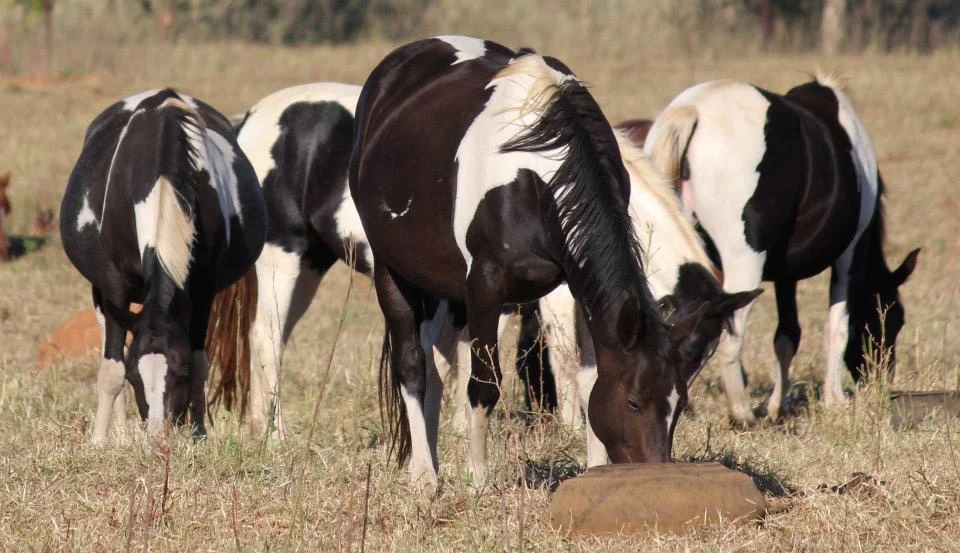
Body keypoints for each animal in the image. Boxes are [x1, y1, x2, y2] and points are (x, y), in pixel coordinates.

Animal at [60, 88, 266, 442]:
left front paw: (198, 433)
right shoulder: (114, 288)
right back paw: (119, 433)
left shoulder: (203, 291)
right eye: (135, 376)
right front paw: (99, 441)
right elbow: (112, 368)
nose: (159, 437)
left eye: (180, 372)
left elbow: (200, 363)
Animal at [348, 36, 748, 494]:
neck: (532, 172)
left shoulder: (575, 284)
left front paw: (593, 470)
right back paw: (425, 476)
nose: (654, 473)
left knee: (434, 364)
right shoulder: (485, 286)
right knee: (413, 365)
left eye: (677, 403)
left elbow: (588, 380)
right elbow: (483, 385)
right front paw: (477, 483)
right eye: (633, 402)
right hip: (392, 271)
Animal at [644, 70, 924, 422]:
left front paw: (779, 405)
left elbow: (787, 336)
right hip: (743, 265)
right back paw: (742, 413)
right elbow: (837, 326)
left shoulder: (784, 275)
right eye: (895, 318)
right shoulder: (849, 256)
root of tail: (695, 110)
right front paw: (834, 399)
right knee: (730, 336)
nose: (881, 381)